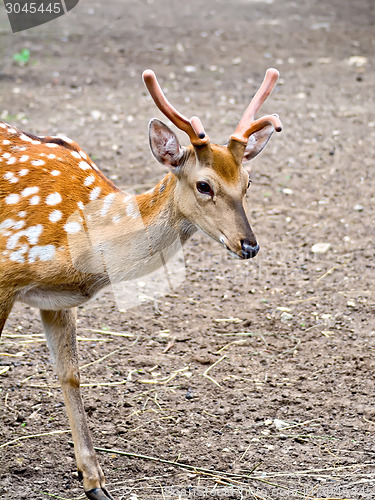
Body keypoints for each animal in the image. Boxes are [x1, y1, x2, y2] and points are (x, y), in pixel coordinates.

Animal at [0, 68, 282, 498]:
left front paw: (94, 481)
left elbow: (70, 374)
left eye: (247, 182)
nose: (249, 245)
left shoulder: (55, 299)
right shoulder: (5, 276)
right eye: (204, 185)